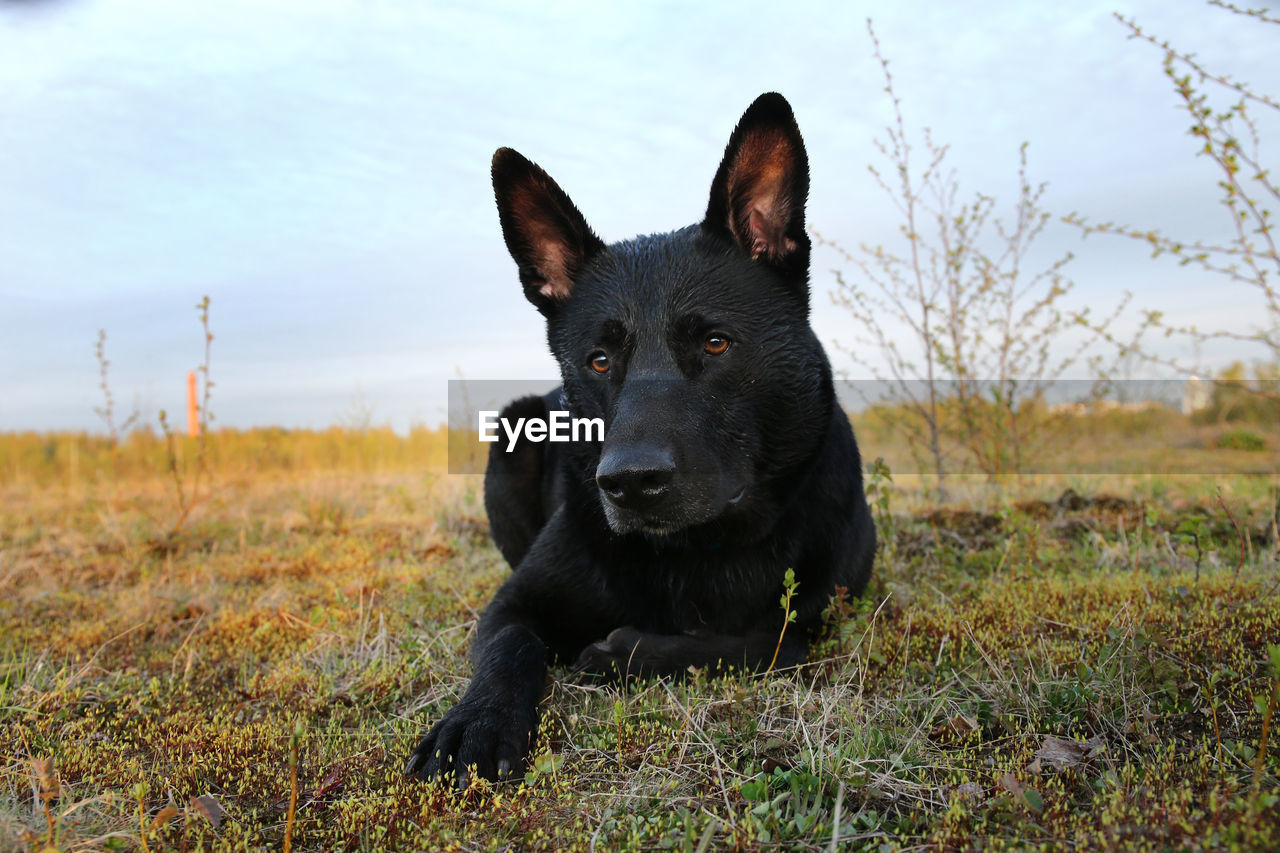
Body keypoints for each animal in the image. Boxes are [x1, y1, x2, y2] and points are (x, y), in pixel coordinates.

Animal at [409, 92, 880, 783]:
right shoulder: (513, 604)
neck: (699, 550)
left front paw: (624, 652)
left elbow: (769, 640)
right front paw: (478, 721)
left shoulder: (822, 612)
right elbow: (511, 643)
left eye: (716, 343)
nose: (630, 482)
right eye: (600, 360)